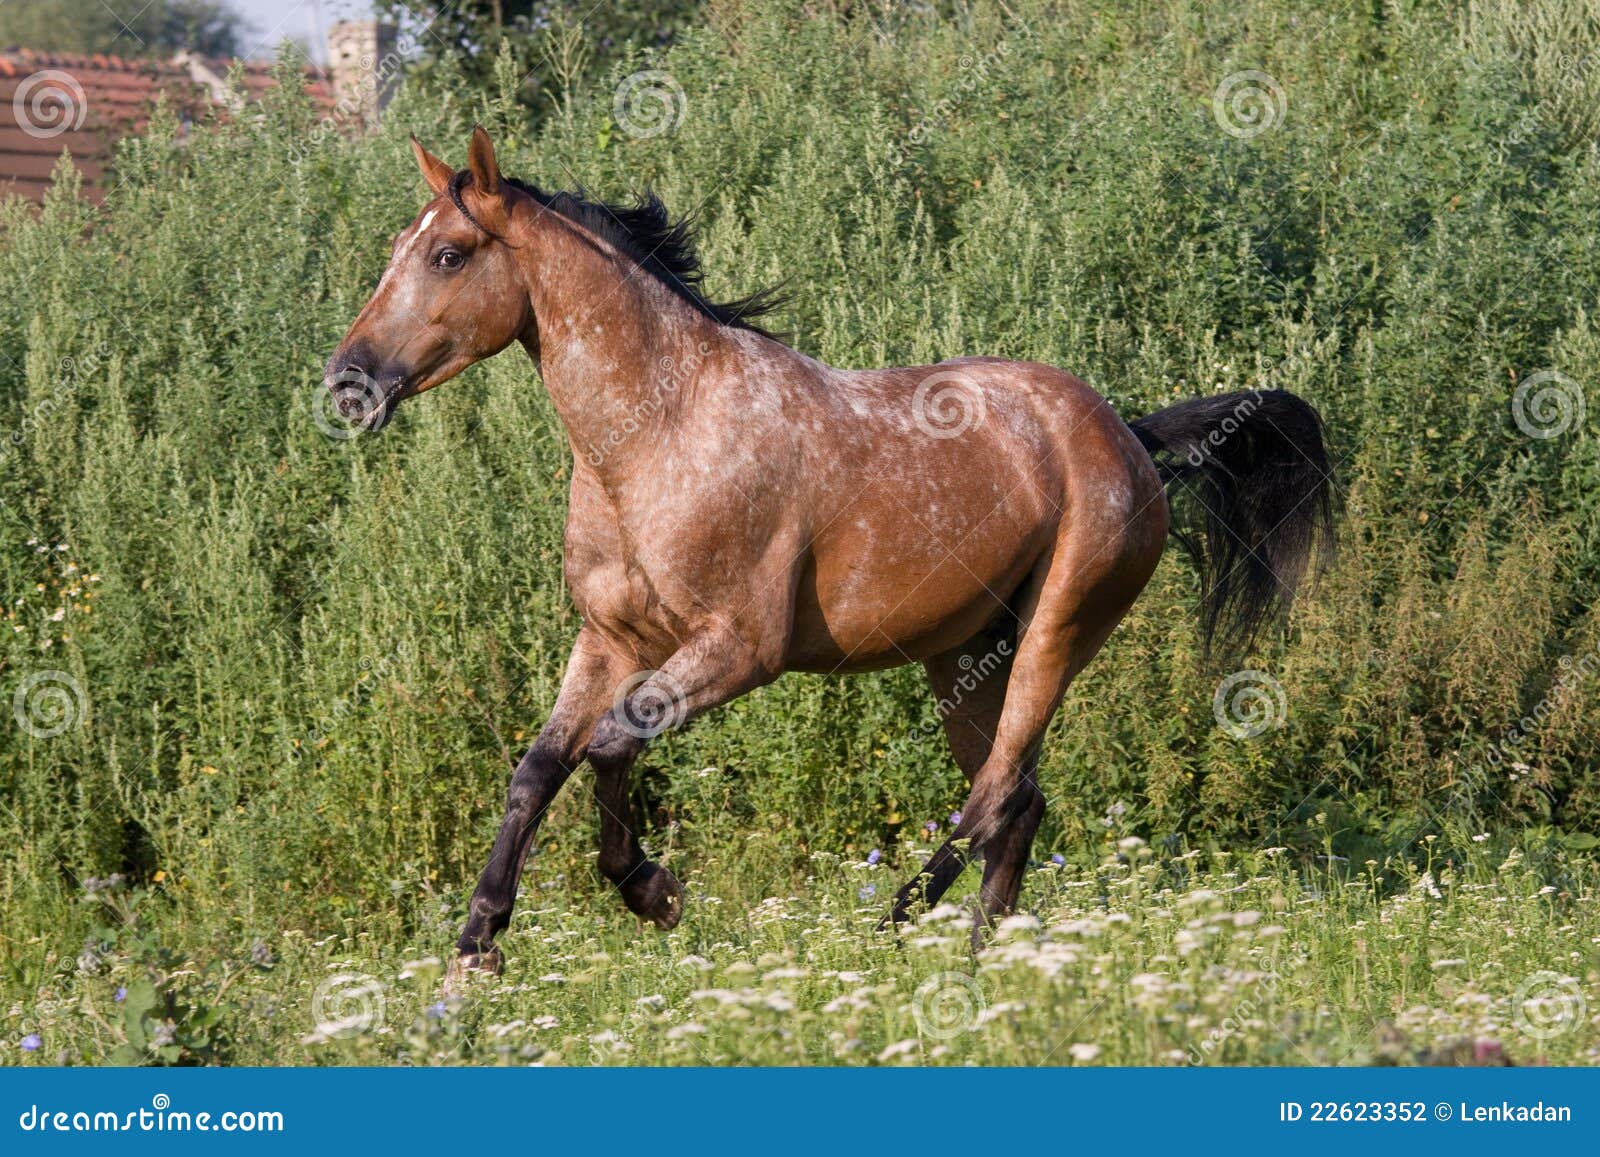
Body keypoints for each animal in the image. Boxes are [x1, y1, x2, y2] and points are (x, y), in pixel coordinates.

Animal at [324, 126, 1337, 979]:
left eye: (448, 254)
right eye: (397, 249)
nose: (347, 383)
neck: (661, 431)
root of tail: (1128, 431)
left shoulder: (740, 648)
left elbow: (611, 744)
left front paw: (654, 892)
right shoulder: (610, 639)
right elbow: (537, 769)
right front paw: (478, 947)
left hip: (1057, 630)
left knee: (994, 795)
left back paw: (891, 930)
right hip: (964, 657)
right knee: (1019, 801)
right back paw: (989, 959)